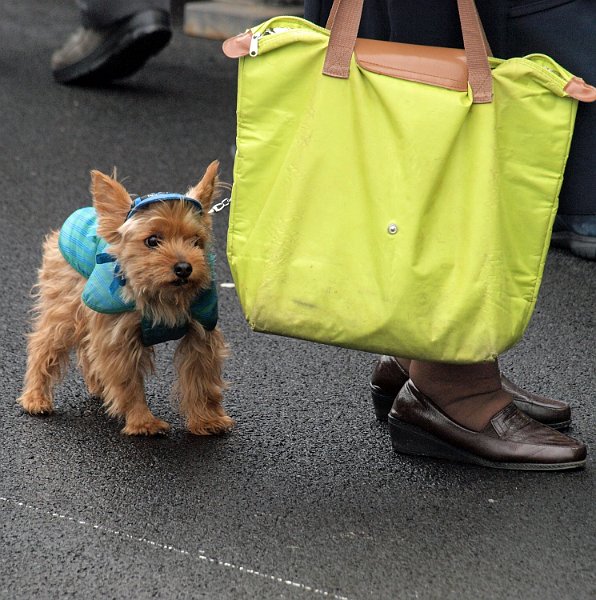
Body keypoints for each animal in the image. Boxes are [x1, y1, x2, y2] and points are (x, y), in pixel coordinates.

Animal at [19, 161, 233, 436]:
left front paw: (207, 420)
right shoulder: (119, 336)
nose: (184, 268)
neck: (162, 296)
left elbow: (201, 378)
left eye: (197, 242)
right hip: (66, 306)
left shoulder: (200, 332)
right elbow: (127, 381)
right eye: (152, 240)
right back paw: (36, 398)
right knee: (44, 344)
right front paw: (143, 422)